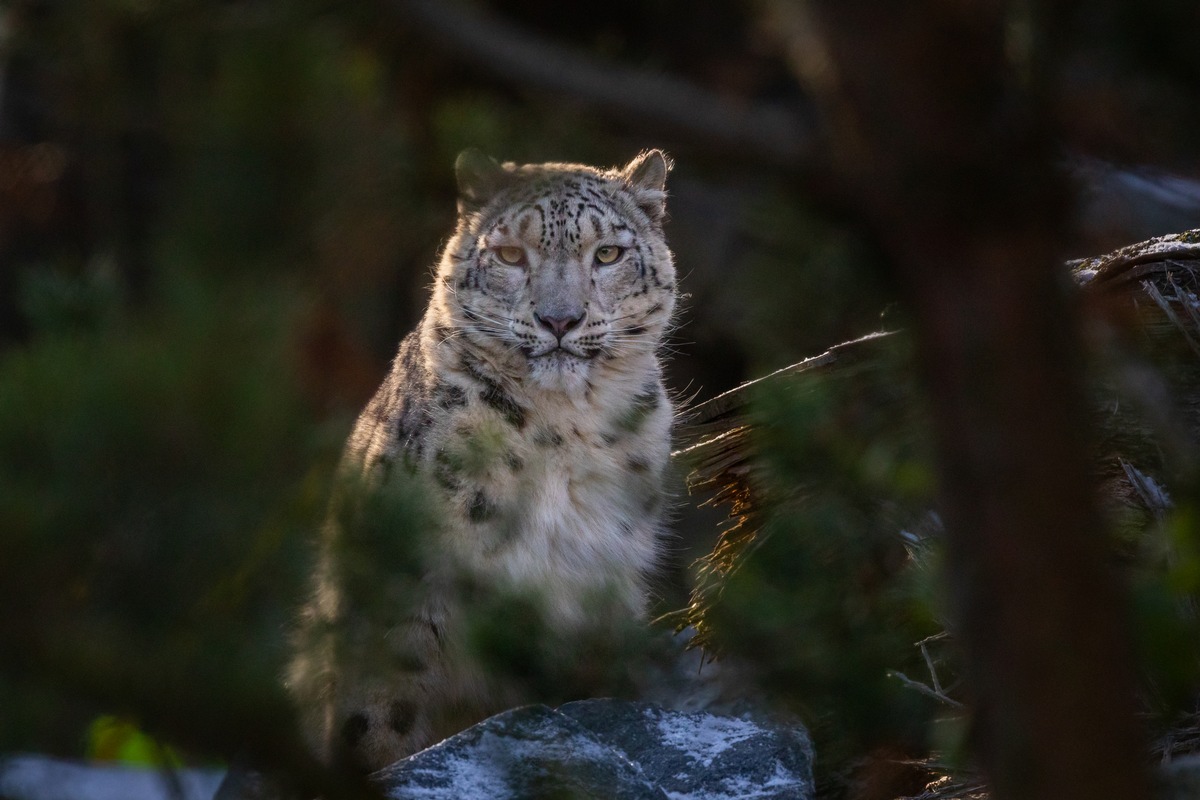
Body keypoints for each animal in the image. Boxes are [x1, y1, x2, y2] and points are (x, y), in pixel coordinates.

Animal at [282, 148, 676, 767]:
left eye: (608, 253)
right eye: (511, 255)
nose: (559, 320)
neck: (560, 432)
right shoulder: (403, 589)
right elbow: (377, 713)